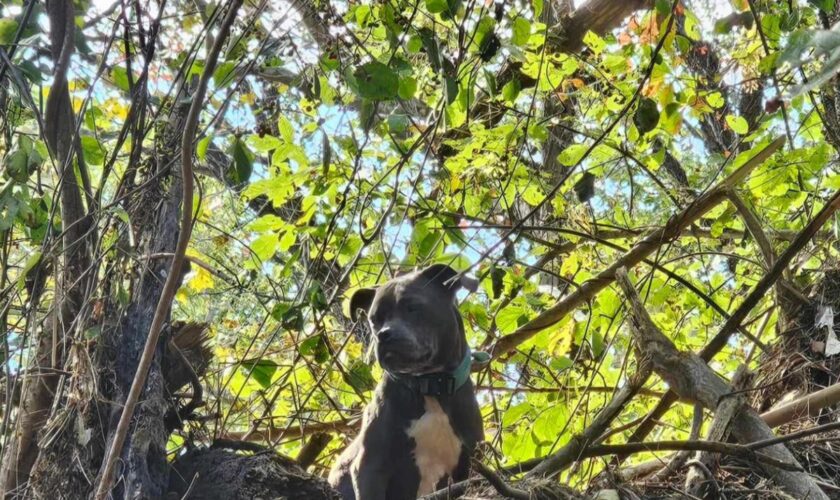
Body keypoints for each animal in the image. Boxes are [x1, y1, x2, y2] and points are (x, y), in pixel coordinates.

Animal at [330, 264, 486, 498]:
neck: (429, 385)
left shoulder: (468, 468)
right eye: (374, 319)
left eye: (412, 307)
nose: (383, 334)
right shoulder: (370, 466)